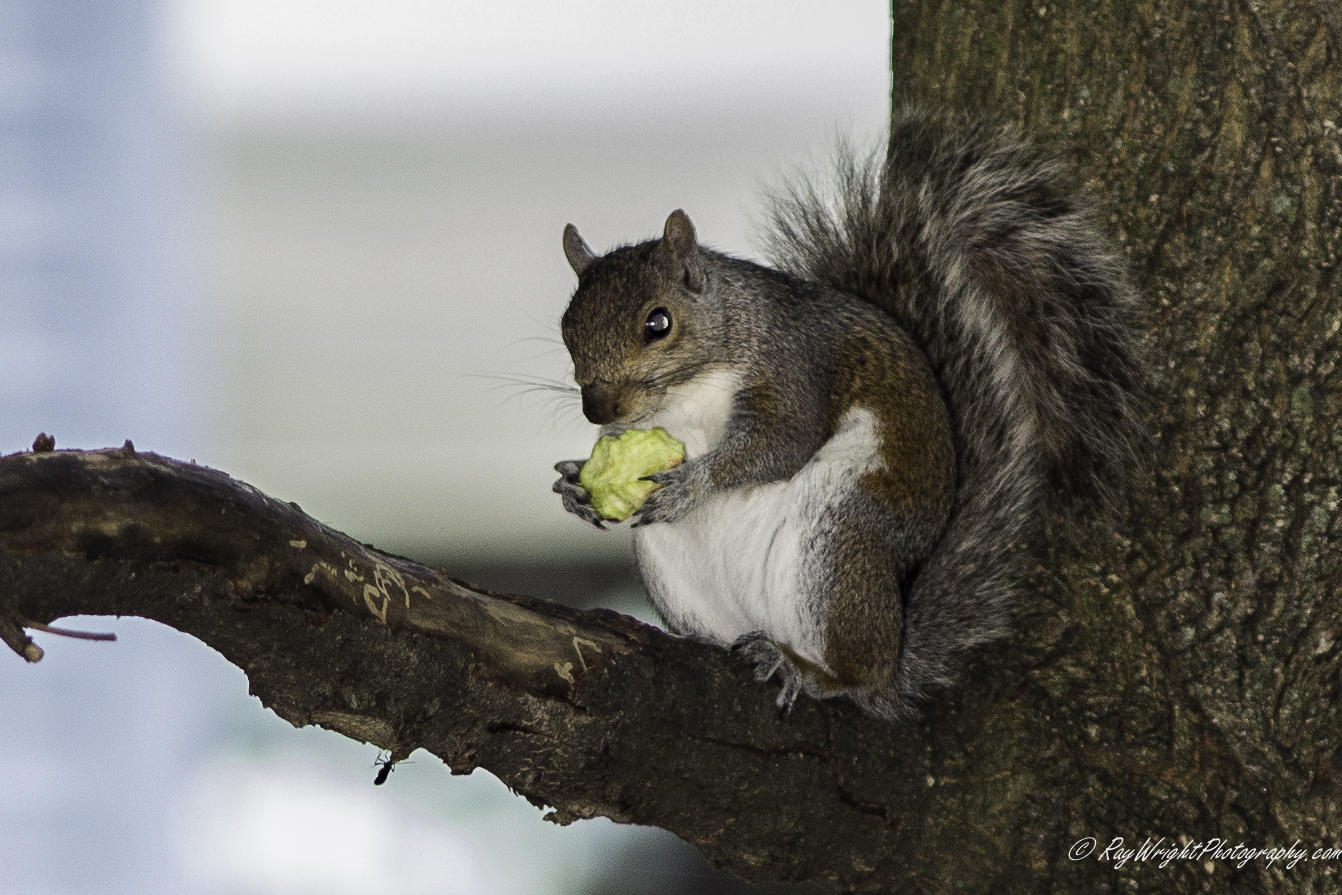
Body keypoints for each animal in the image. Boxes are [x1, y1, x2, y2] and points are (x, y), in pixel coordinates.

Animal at [552, 112, 1143, 720]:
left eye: (659, 322)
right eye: (566, 328)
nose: (597, 409)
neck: (687, 390)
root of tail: (895, 651)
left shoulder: (795, 371)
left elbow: (781, 442)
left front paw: (692, 483)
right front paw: (575, 485)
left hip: (837, 540)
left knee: (857, 674)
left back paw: (804, 667)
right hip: (676, 570)